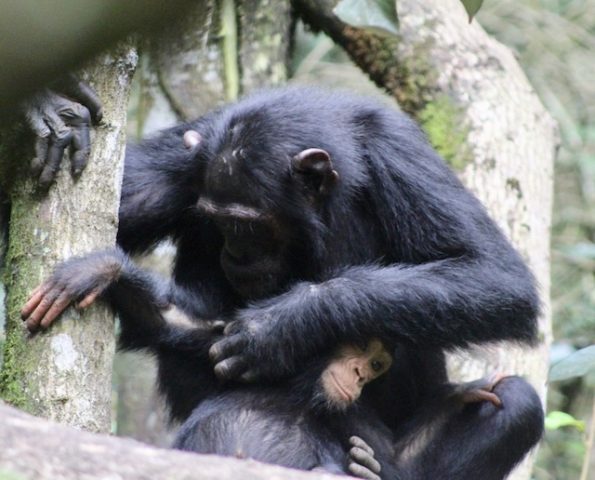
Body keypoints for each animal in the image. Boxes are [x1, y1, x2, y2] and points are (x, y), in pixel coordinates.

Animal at [22, 86, 544, 476]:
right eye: (218, 221)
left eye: (249, 225)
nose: (235, 252)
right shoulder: (188, 156)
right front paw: (48, 110)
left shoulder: (401, 155)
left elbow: (494, 275)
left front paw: (281, 327)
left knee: (515, 402)